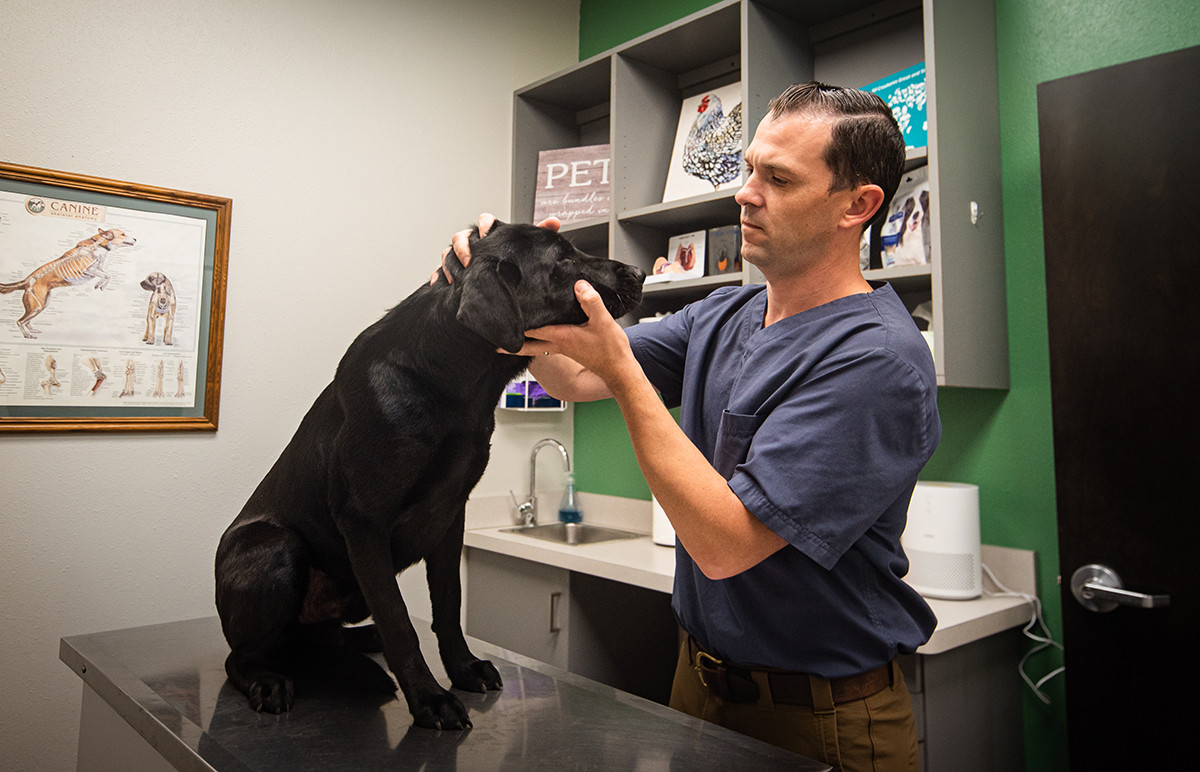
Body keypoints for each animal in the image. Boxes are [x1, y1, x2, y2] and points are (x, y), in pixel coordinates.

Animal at [218, 220, 648, 729]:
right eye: (562, 256)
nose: (640, 272)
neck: (454, 379)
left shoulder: (449, 513)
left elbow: (447, 602)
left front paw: (463, 669)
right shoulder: (364, 521)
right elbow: (400, 619)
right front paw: (429, 698)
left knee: (329, 638)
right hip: (274, 547)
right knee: (241, 657)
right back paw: (267, 680)